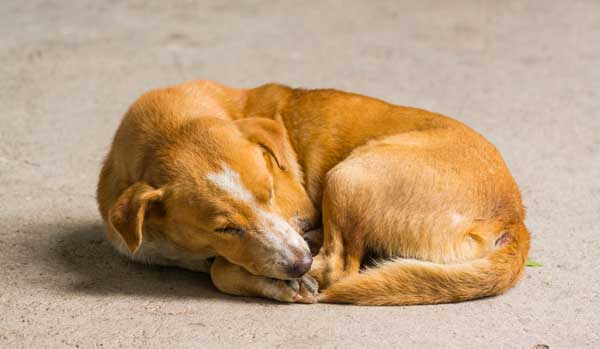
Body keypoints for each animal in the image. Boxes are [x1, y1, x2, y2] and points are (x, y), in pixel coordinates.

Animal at [97, 80, 528, 304]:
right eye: (225, 228)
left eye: (270, 191)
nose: (299, 264)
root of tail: (515, 218)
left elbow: (221, 271)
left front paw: (278, 282)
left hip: (348, 176)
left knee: (339, 267)